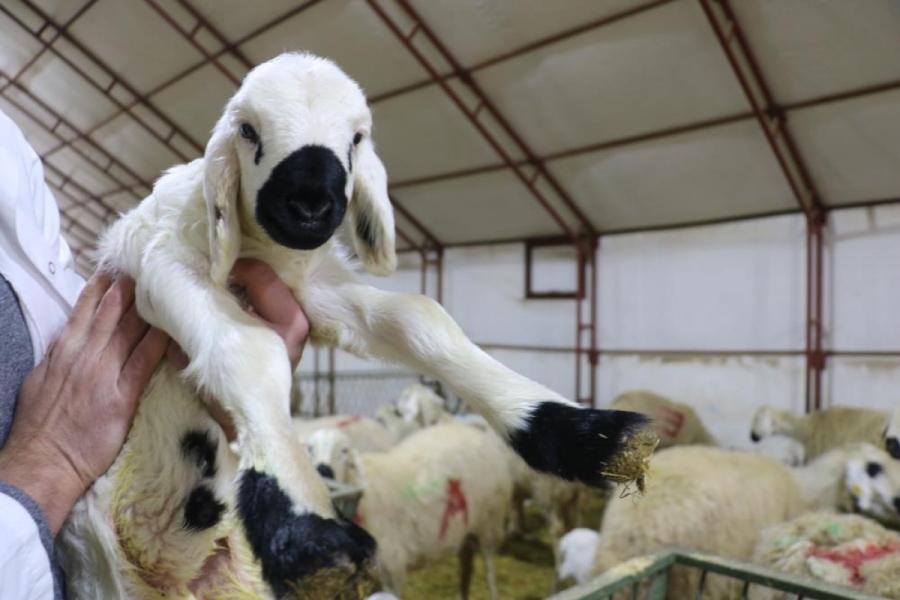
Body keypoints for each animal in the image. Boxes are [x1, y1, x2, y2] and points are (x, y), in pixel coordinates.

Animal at [310, 424, 516, 596]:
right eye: (310, 449)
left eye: (344, 451)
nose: (323, 470)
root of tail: (477, 433)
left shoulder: (392, 567)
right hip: (467, 530)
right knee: (466, 564)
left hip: (490, 525)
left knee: (489, 571)